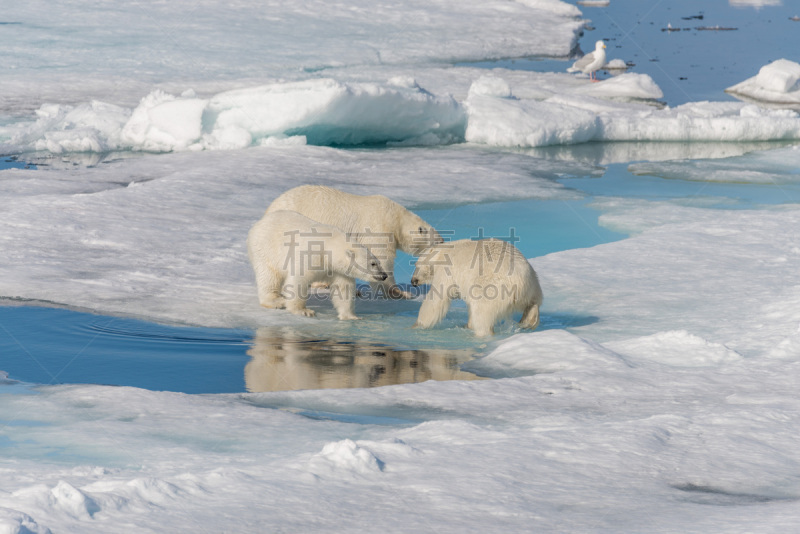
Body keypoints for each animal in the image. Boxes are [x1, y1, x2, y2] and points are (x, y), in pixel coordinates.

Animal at [248, 209, 390, 320]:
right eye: (373, 263)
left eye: (379, 262)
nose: (384, 275)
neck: (329, 245)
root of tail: (259, 223)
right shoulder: (310, 255)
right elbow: (298, 279)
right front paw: (304, 311)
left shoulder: (338, 270)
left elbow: (343, 288)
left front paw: (351, 316)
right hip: (266, 249)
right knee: (269, 275)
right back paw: (276, 301)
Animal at [268, 186, 444, 300]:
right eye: (437, 239)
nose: (443, 241)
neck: (395, 218)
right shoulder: (378, 226)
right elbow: (382, 257)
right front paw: (400, 292)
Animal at [412, 240, 544, 338]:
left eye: (416, 265)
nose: (413, 281)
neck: (441, 253)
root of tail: (519, 280)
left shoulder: (446, 271)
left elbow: (437, 298)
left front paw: (417, 324)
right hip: (532, 282)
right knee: (533, 301)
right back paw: (528, 321)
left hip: (493, 286)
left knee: (482, 312)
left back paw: (481, 333)